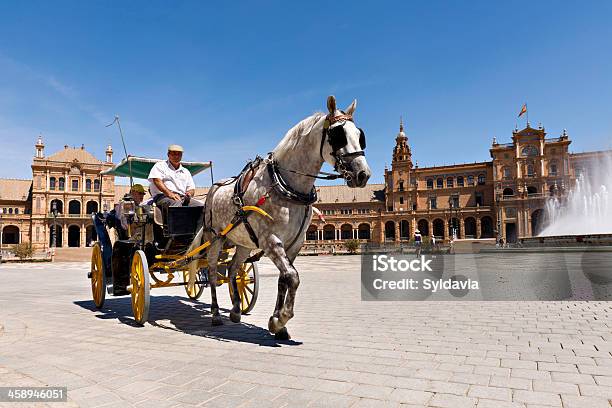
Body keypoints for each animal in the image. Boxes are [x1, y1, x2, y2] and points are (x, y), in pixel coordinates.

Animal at [189, 95, 370, 338]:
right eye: (337, 135)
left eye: (360, 136)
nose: (363, 174)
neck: (287, 185)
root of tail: (213, 189)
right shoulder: (271, 241)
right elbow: (293, 277)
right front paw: (281, 319)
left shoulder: (295, 244)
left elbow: (284, 279)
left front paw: (278, 324)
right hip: (215, 237)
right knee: (210, 270)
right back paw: (216, 314)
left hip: (243, 241)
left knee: (234, 268)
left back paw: (236, 310)